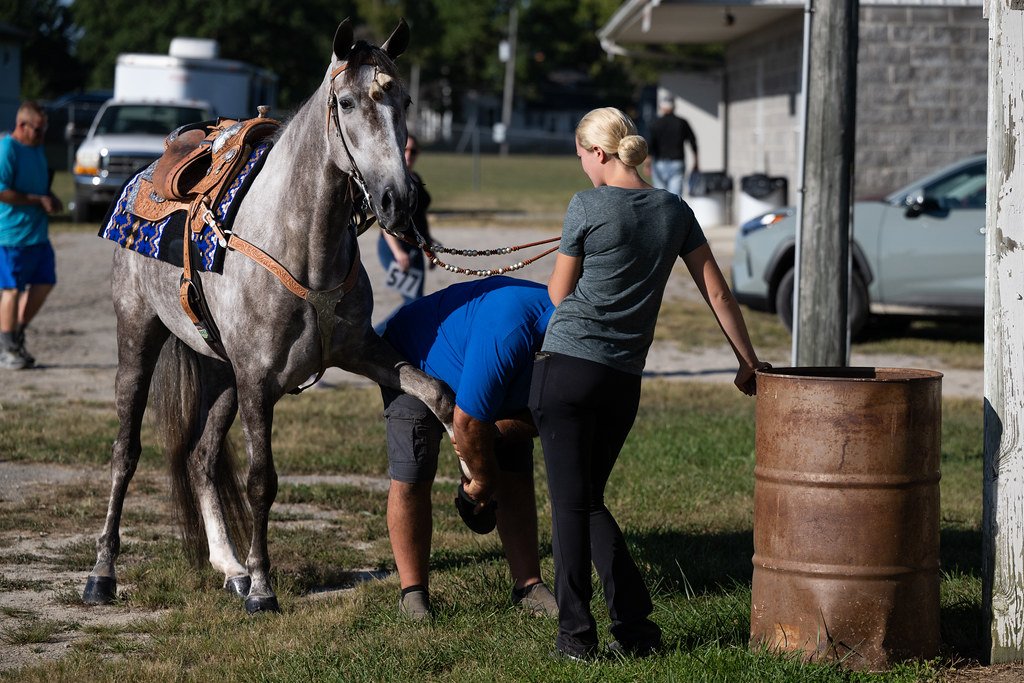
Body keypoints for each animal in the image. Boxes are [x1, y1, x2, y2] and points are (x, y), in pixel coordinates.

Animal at [82, 17, 456, 614]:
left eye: (405, 100)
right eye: (346, 102)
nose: (399, 202)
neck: (301, 243)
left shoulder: (360, 352)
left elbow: (438, 393)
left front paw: (477, 489)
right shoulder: (258, 381)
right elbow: (262, 481)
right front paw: (263, 588)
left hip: (221, 372)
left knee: (202, 459)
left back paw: (230, 566)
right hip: (138, 337)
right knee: (126, 451)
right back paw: (103, 574)